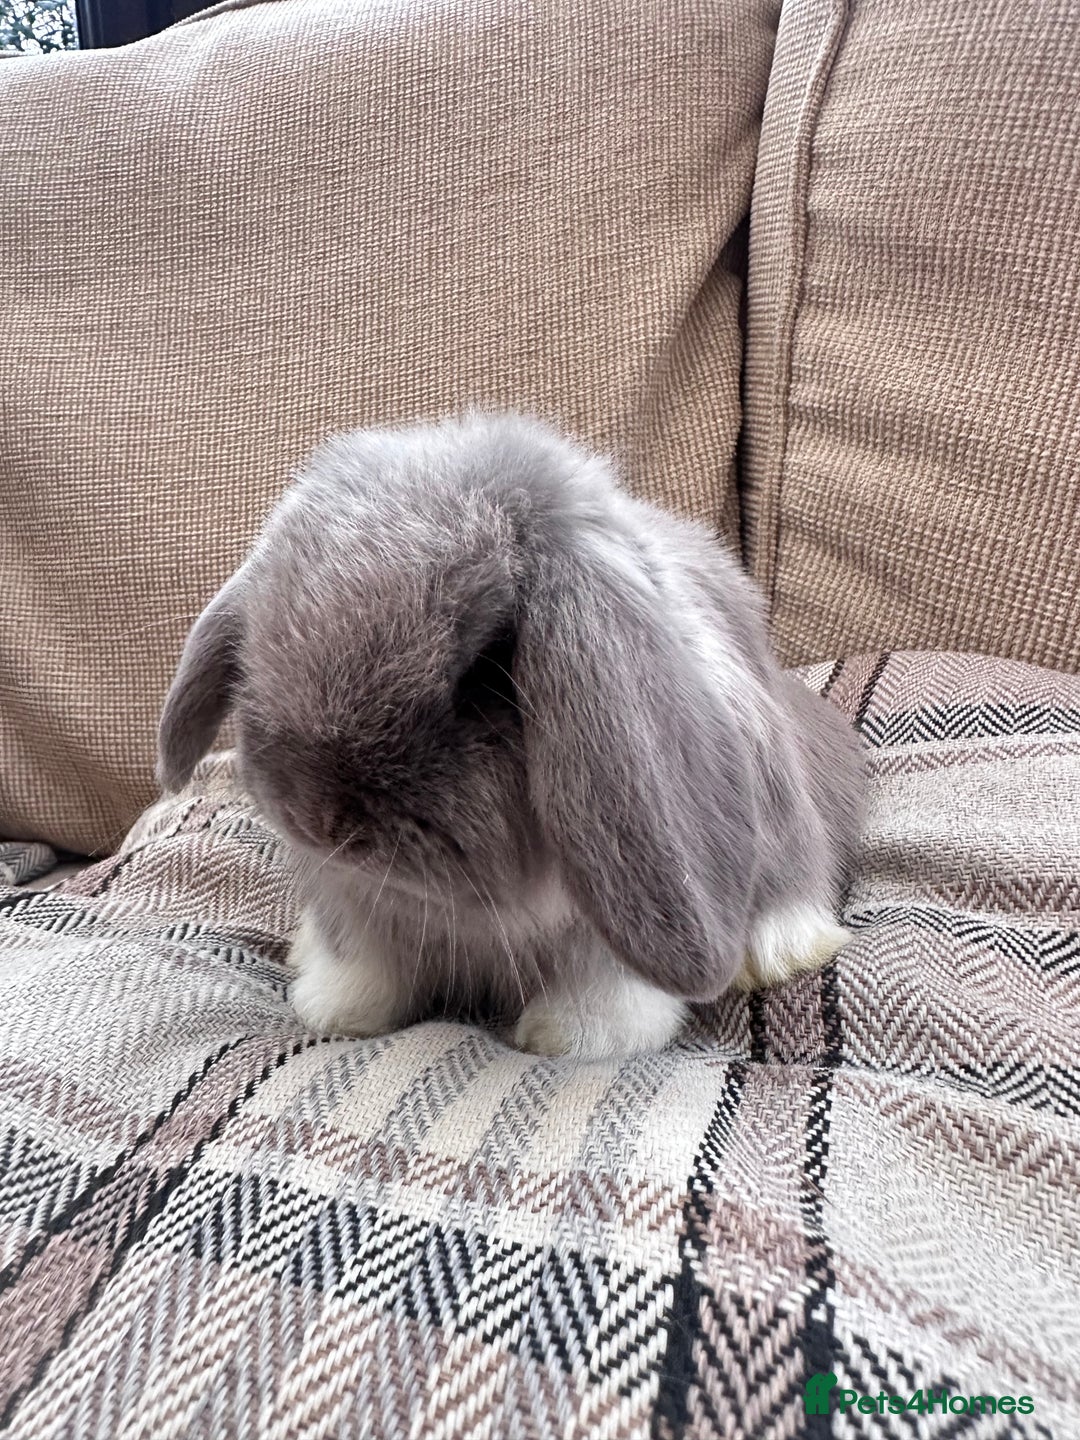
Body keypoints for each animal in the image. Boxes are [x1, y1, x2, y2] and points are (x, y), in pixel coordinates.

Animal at [157, 412, 864, 1060]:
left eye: (488, 673)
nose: (320, 820)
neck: (457, 911)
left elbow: (604, 996)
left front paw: (568, 1040)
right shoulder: (356, 905)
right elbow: (365, 971)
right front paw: (335, 1012)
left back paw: (778, 952)